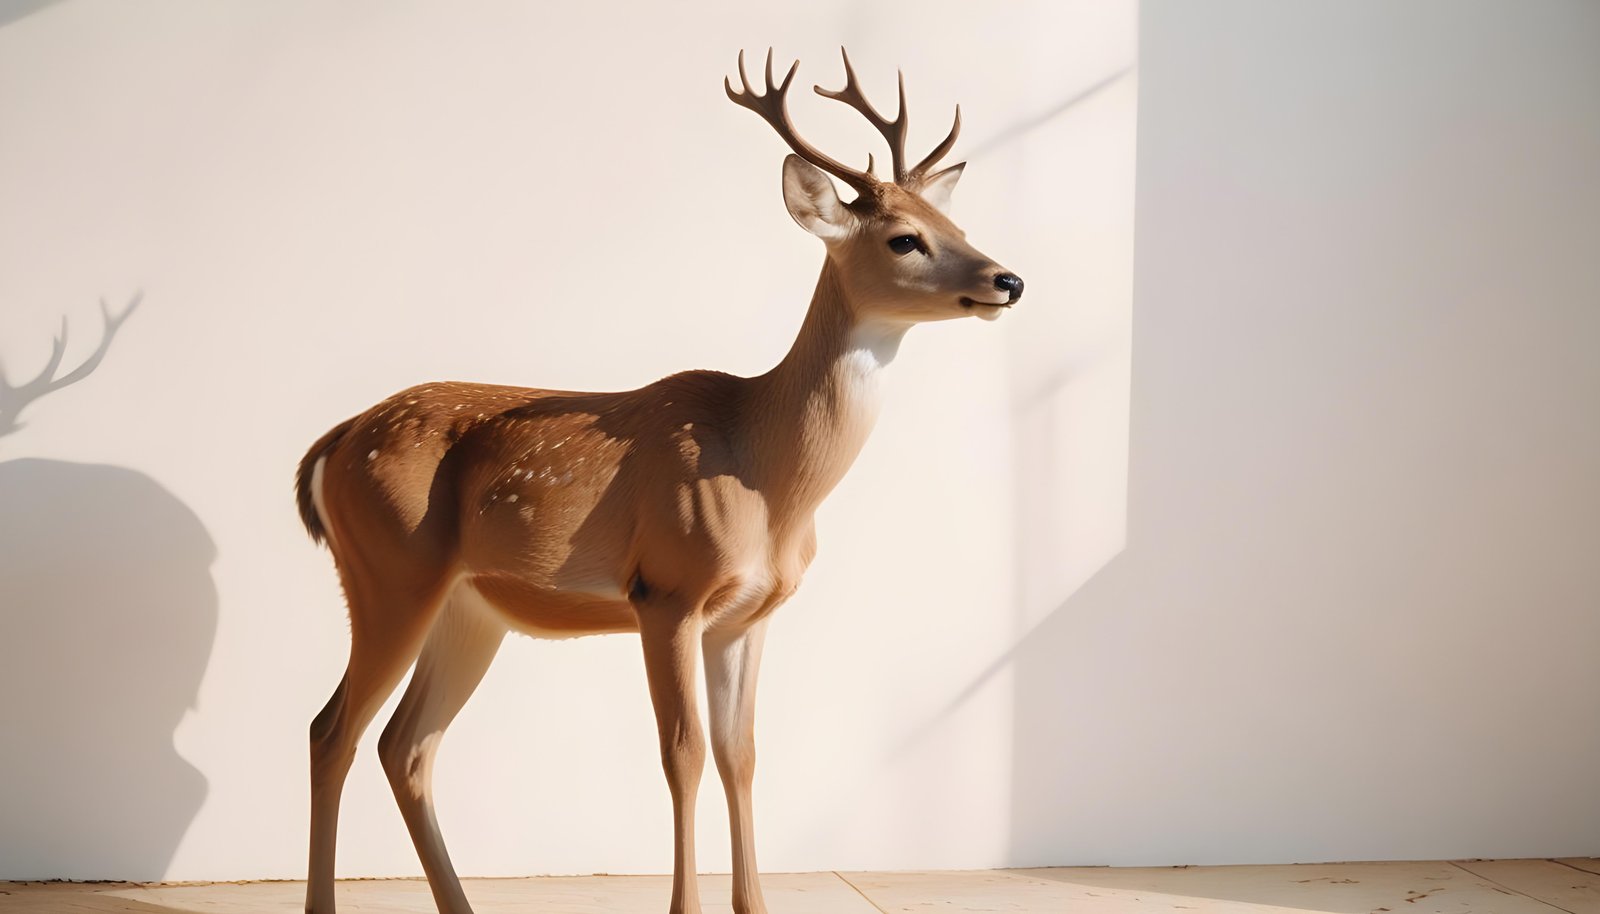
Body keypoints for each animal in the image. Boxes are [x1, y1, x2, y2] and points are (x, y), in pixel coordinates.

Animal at [294, 49, 1024, 914]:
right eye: (905, 239)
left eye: (959, 228)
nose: (1009, 280)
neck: (767, 477)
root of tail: (333, 444)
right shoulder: (667, 589)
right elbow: (685, 753)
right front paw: (687, 907)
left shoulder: (748, 615)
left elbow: (743, 752)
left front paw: (755, 905)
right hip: (388, 571)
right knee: (331, 730)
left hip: (470, 606)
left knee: (405, 744)